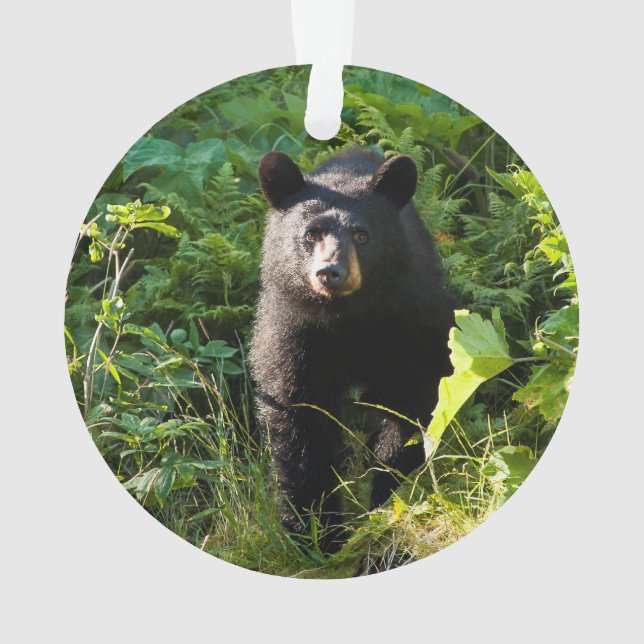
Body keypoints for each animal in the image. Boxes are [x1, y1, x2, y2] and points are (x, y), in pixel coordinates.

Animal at [249, 148, 454, 554]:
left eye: (362, 234)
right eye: (311, 234)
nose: (331, 272)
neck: (346, 318)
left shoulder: (410, 321)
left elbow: (408, 402)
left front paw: (387, 497)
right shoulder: (292, 332)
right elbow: (299, 416)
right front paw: (316, 532)